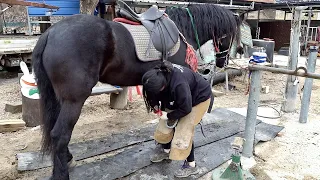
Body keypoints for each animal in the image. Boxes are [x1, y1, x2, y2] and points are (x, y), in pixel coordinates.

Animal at [32, 2, 241, 179]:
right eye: (230, 36)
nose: (223, 62)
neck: (184, 29)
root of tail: (50, 33)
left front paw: (162, 148)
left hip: (59, 98)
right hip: (74, 100)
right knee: (60, 134)